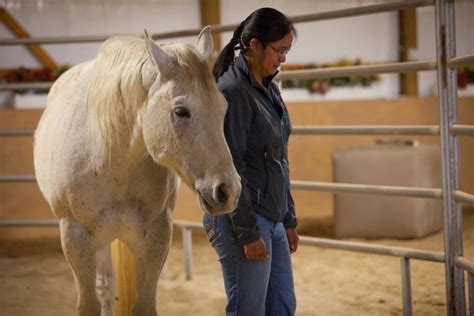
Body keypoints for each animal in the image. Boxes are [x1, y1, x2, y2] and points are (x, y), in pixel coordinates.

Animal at [34, 27, 241, 316]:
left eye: (223, 107)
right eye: (180, 111)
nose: (228, 191)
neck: (107, 156)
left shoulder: (156, 236)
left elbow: (144, 304)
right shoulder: (75, 238)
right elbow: (89, 303)